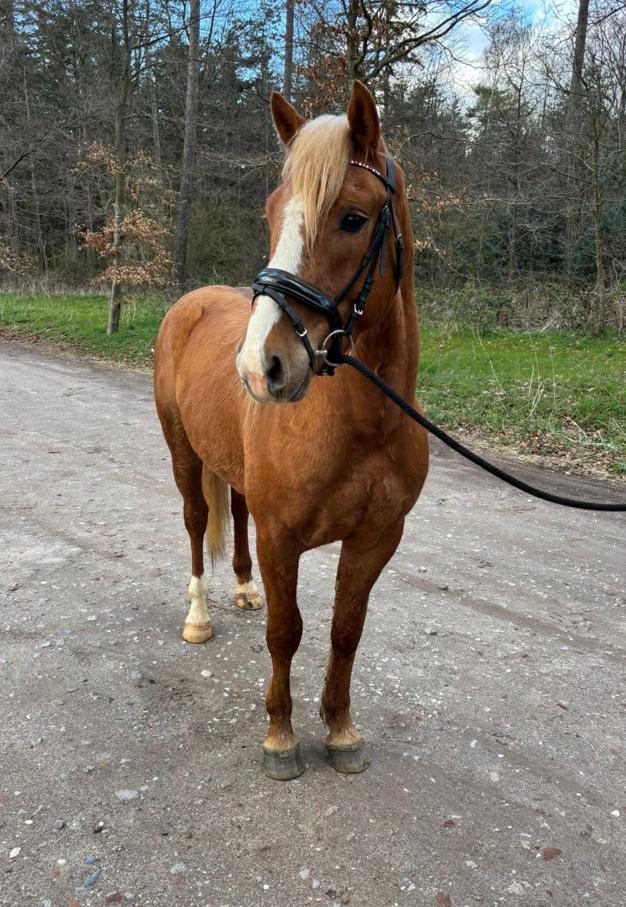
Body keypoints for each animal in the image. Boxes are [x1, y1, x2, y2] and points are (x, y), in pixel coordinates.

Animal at [154, 81, 429, 781]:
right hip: (182, 454)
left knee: (235, 512)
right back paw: (199, 616)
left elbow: (344, 632)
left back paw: (244, 590)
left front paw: (341, 731)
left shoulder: (375, 539)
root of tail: (190, 304)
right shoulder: (283, 539)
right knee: (197, 524)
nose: (260, 366)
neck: (362, 427)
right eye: (273, 212)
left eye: (353, 218)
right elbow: (287, 632)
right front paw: (280, 737)